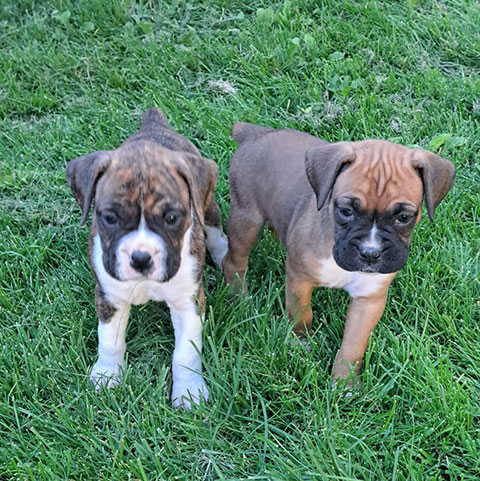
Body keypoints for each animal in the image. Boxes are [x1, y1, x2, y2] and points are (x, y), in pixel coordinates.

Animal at [66, 108, 229, 404]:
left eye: (172, 218)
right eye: (110, 218)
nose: (141, 258)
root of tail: (153, 124)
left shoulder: (188, 302)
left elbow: (186, 352)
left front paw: (188, 392)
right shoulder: (109, 297)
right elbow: (109, 341)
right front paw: (108, 374)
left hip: (207, 201)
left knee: (213, 225)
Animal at [221, 123, 454, 386]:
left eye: (404, 217)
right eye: (346, 211)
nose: (370, 253)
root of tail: (255, 132)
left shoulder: (369, 299)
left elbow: (353, 345)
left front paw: (345, 384)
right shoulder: (299, 280)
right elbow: (302, 315)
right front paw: (299, 344)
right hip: (246, 219)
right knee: (233, 262)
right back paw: (241, 300)